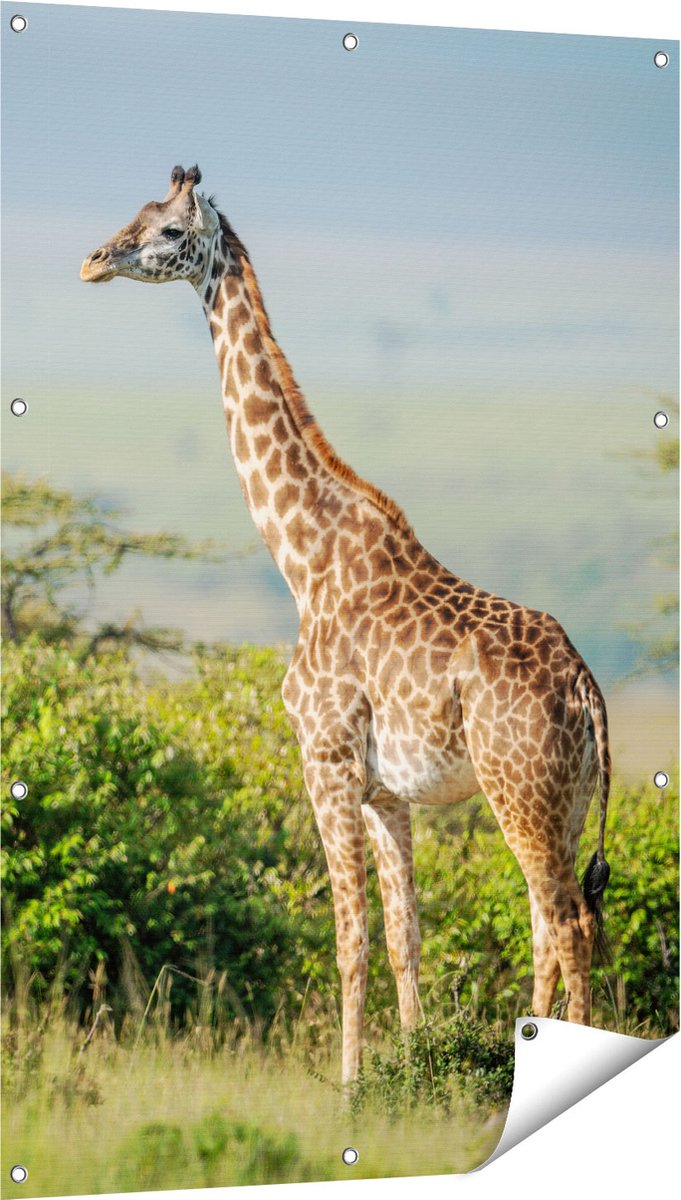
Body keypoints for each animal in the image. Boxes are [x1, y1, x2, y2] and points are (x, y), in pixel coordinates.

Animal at [81, 165, 611, 1085]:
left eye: (167, 230)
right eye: (136, 214)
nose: (92, 260)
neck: (302, 559)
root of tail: (585, 686)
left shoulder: (323, 762)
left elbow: (347, 940)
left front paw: (350, 1088)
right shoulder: (383, 792)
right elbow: (403, 938)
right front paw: (412, 1066)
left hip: (518, 790)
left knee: (566, 922)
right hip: (564, 801)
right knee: (552, 919)